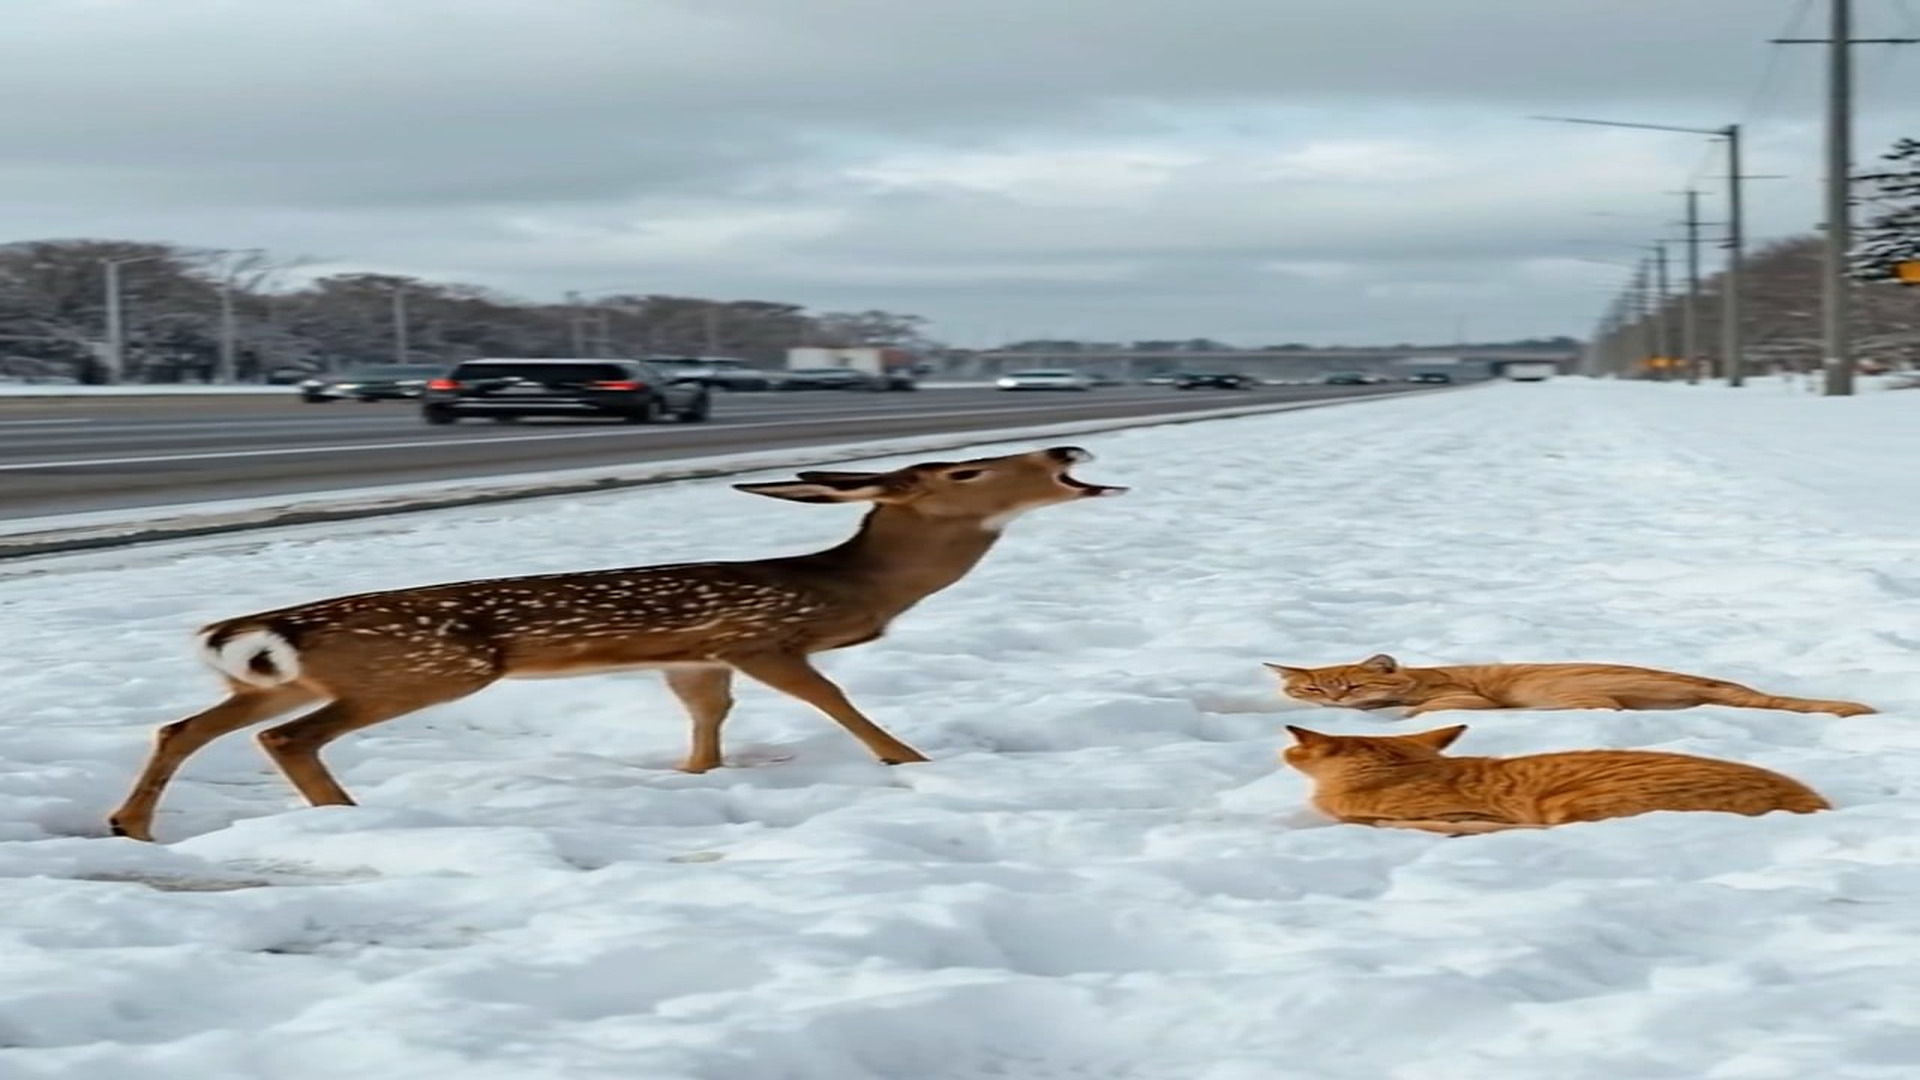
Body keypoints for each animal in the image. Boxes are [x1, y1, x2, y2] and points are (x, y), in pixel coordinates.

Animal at [106, 445, 1126, 841]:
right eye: (965, 471)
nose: (1067, 451)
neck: (841, 588)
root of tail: (264, 624)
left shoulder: (693, 656)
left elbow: (709, 720)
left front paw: (694, 779)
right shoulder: (759, 636)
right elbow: (833, 699)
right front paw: (910, 760)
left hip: (288, 677)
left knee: (187, 724)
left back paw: (130, 825)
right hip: (427, 668)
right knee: (282, 737)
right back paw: (344, 817)